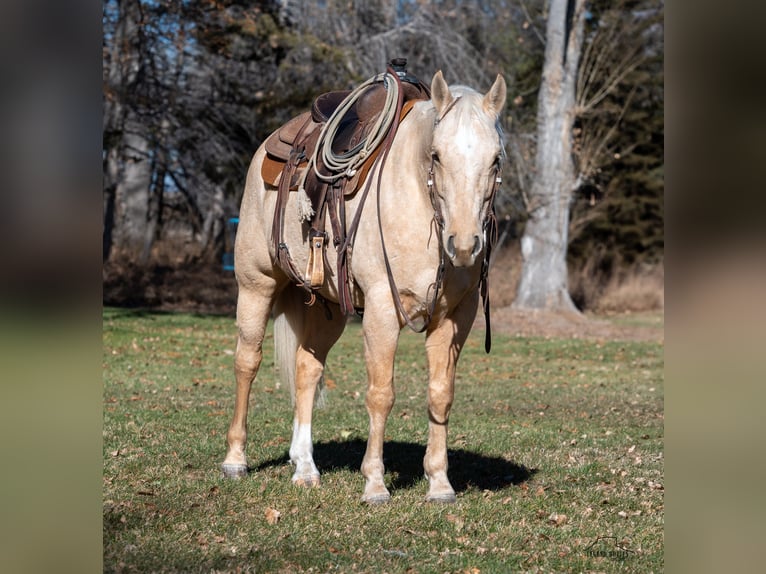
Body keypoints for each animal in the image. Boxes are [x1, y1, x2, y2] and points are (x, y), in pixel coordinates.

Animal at [224, 71, 510, 504]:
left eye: (495, 160)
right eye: (437, 156)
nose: (463, 245)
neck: (419, 201)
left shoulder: (455, 317)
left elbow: (440, 393)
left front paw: (440, 483)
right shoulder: (381, 310)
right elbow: (381, 394)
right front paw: (375, 483)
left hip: (325, 310)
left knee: (307, 370)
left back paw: (305, 467)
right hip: (256, 284)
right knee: (247, 362)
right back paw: (236, 460)